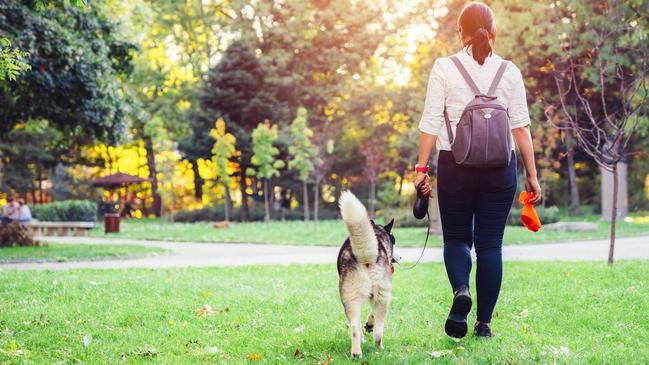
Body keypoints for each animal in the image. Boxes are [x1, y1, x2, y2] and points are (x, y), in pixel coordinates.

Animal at [336, 192, 398, 356]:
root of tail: (366, 256)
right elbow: (371, 314)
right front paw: (369, 325)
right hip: (380, 297)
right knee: (377, 331)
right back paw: (377, 348)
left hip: (352, 299)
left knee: (356, 328)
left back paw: (358, 353)